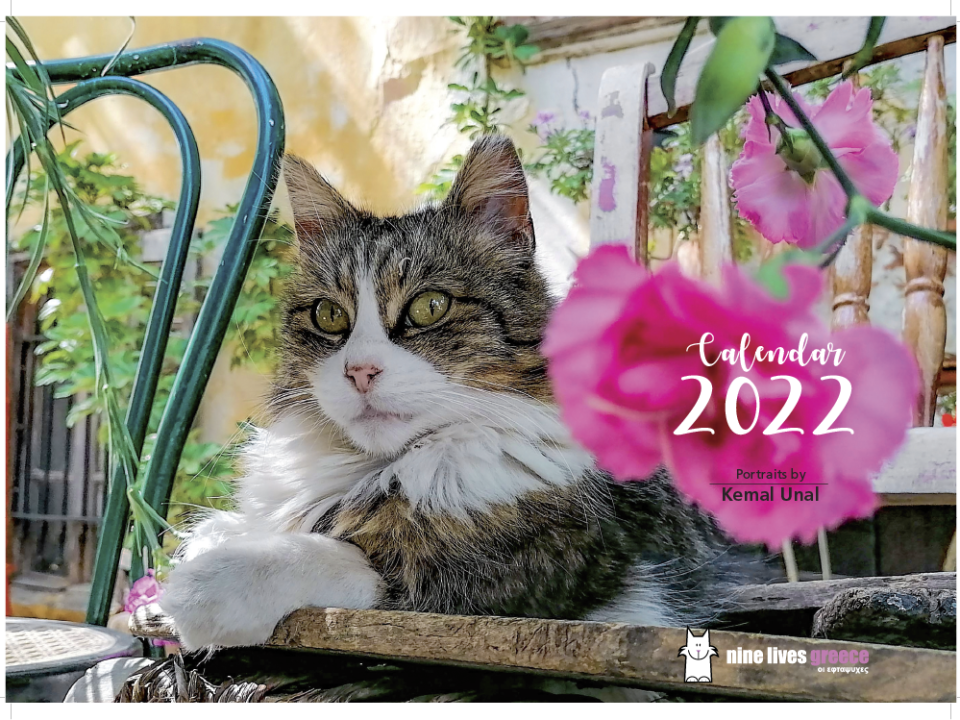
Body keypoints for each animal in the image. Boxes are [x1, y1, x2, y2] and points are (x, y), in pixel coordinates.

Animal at [158, 135, 744, 652]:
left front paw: (208, 585)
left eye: (429, 306)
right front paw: (215, 539)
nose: (360, 371)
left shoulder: (523, 574)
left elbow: (345, 557)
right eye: (329, 316)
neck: (378, 469)